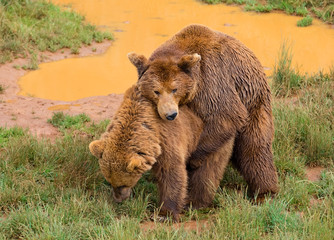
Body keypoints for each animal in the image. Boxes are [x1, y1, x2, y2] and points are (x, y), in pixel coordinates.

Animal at [90, 85, 234, 220]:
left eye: (123, 184)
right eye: (110, 181)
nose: (118, 199)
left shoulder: (166, 136)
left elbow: (171, 171)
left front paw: (164, 214)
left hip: (211, 137)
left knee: (208, 170)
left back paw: (195, 203)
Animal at [128, 24, 280, 208]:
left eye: (174, 89)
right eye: (156, 91)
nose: (170, 114)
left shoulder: (212, 83)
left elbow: (225, 116)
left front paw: (192, 163)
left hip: (254, 103)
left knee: (254, 149)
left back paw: (263, 193)